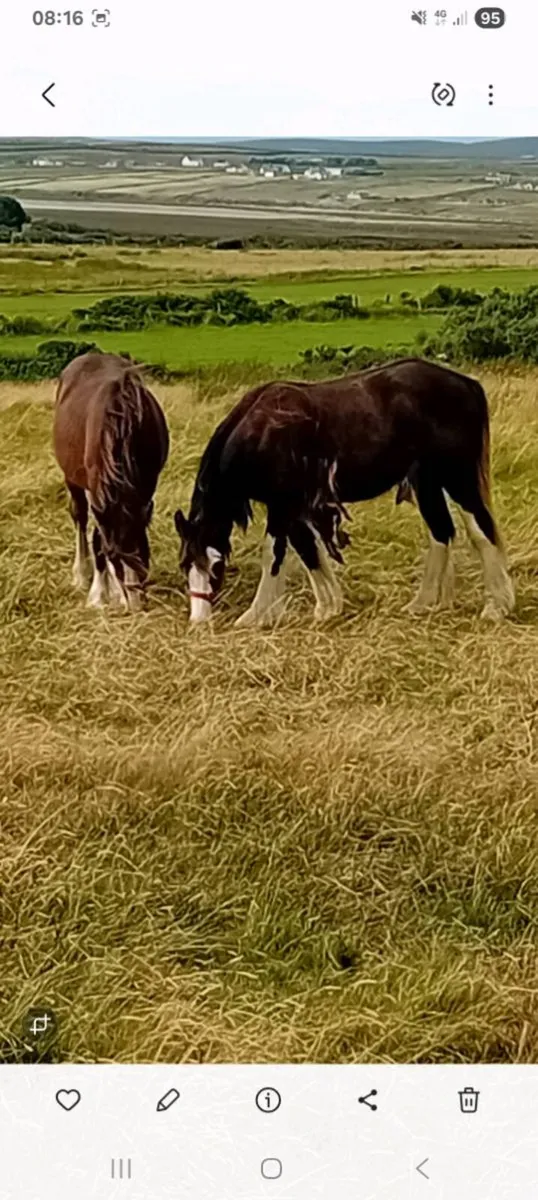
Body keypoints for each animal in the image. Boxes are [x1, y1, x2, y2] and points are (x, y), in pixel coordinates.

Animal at [54, 352, 169, 611]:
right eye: (115, 557)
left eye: (143, 554)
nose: (135, 606)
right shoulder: (99, 492)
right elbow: (99, 540)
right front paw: (99, 595)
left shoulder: (147, 487)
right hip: (73, 479)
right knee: (80, 515)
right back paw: (82, 574)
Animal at [173, 357, 515, 628]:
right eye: (185, 565)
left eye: (217, 565)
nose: (199, 621)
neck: (264, 432)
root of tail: (466, 384)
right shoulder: (295, 507)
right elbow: (308, 550)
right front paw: (327, 607)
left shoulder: (281, 506)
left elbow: (274, 554)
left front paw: (256, 615)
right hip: (426, 481)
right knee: (441, 531)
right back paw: (424, 603)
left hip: (457, 478)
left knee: (481, 531)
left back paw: (496, 606)